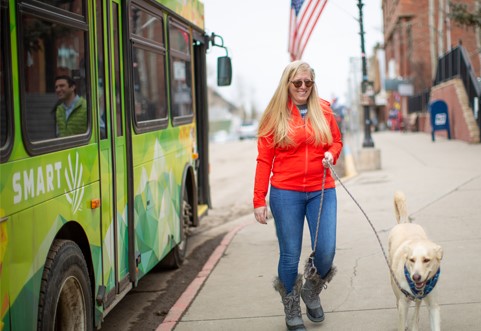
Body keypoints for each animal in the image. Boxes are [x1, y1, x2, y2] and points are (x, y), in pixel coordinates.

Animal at [386, 192, 442, 331]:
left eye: (426, 260)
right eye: (411, 260)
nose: (416, 277)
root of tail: (405, 222)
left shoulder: (433, 305)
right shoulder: (403, 302)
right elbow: (402, 321)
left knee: (417, 306)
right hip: (396, 290)